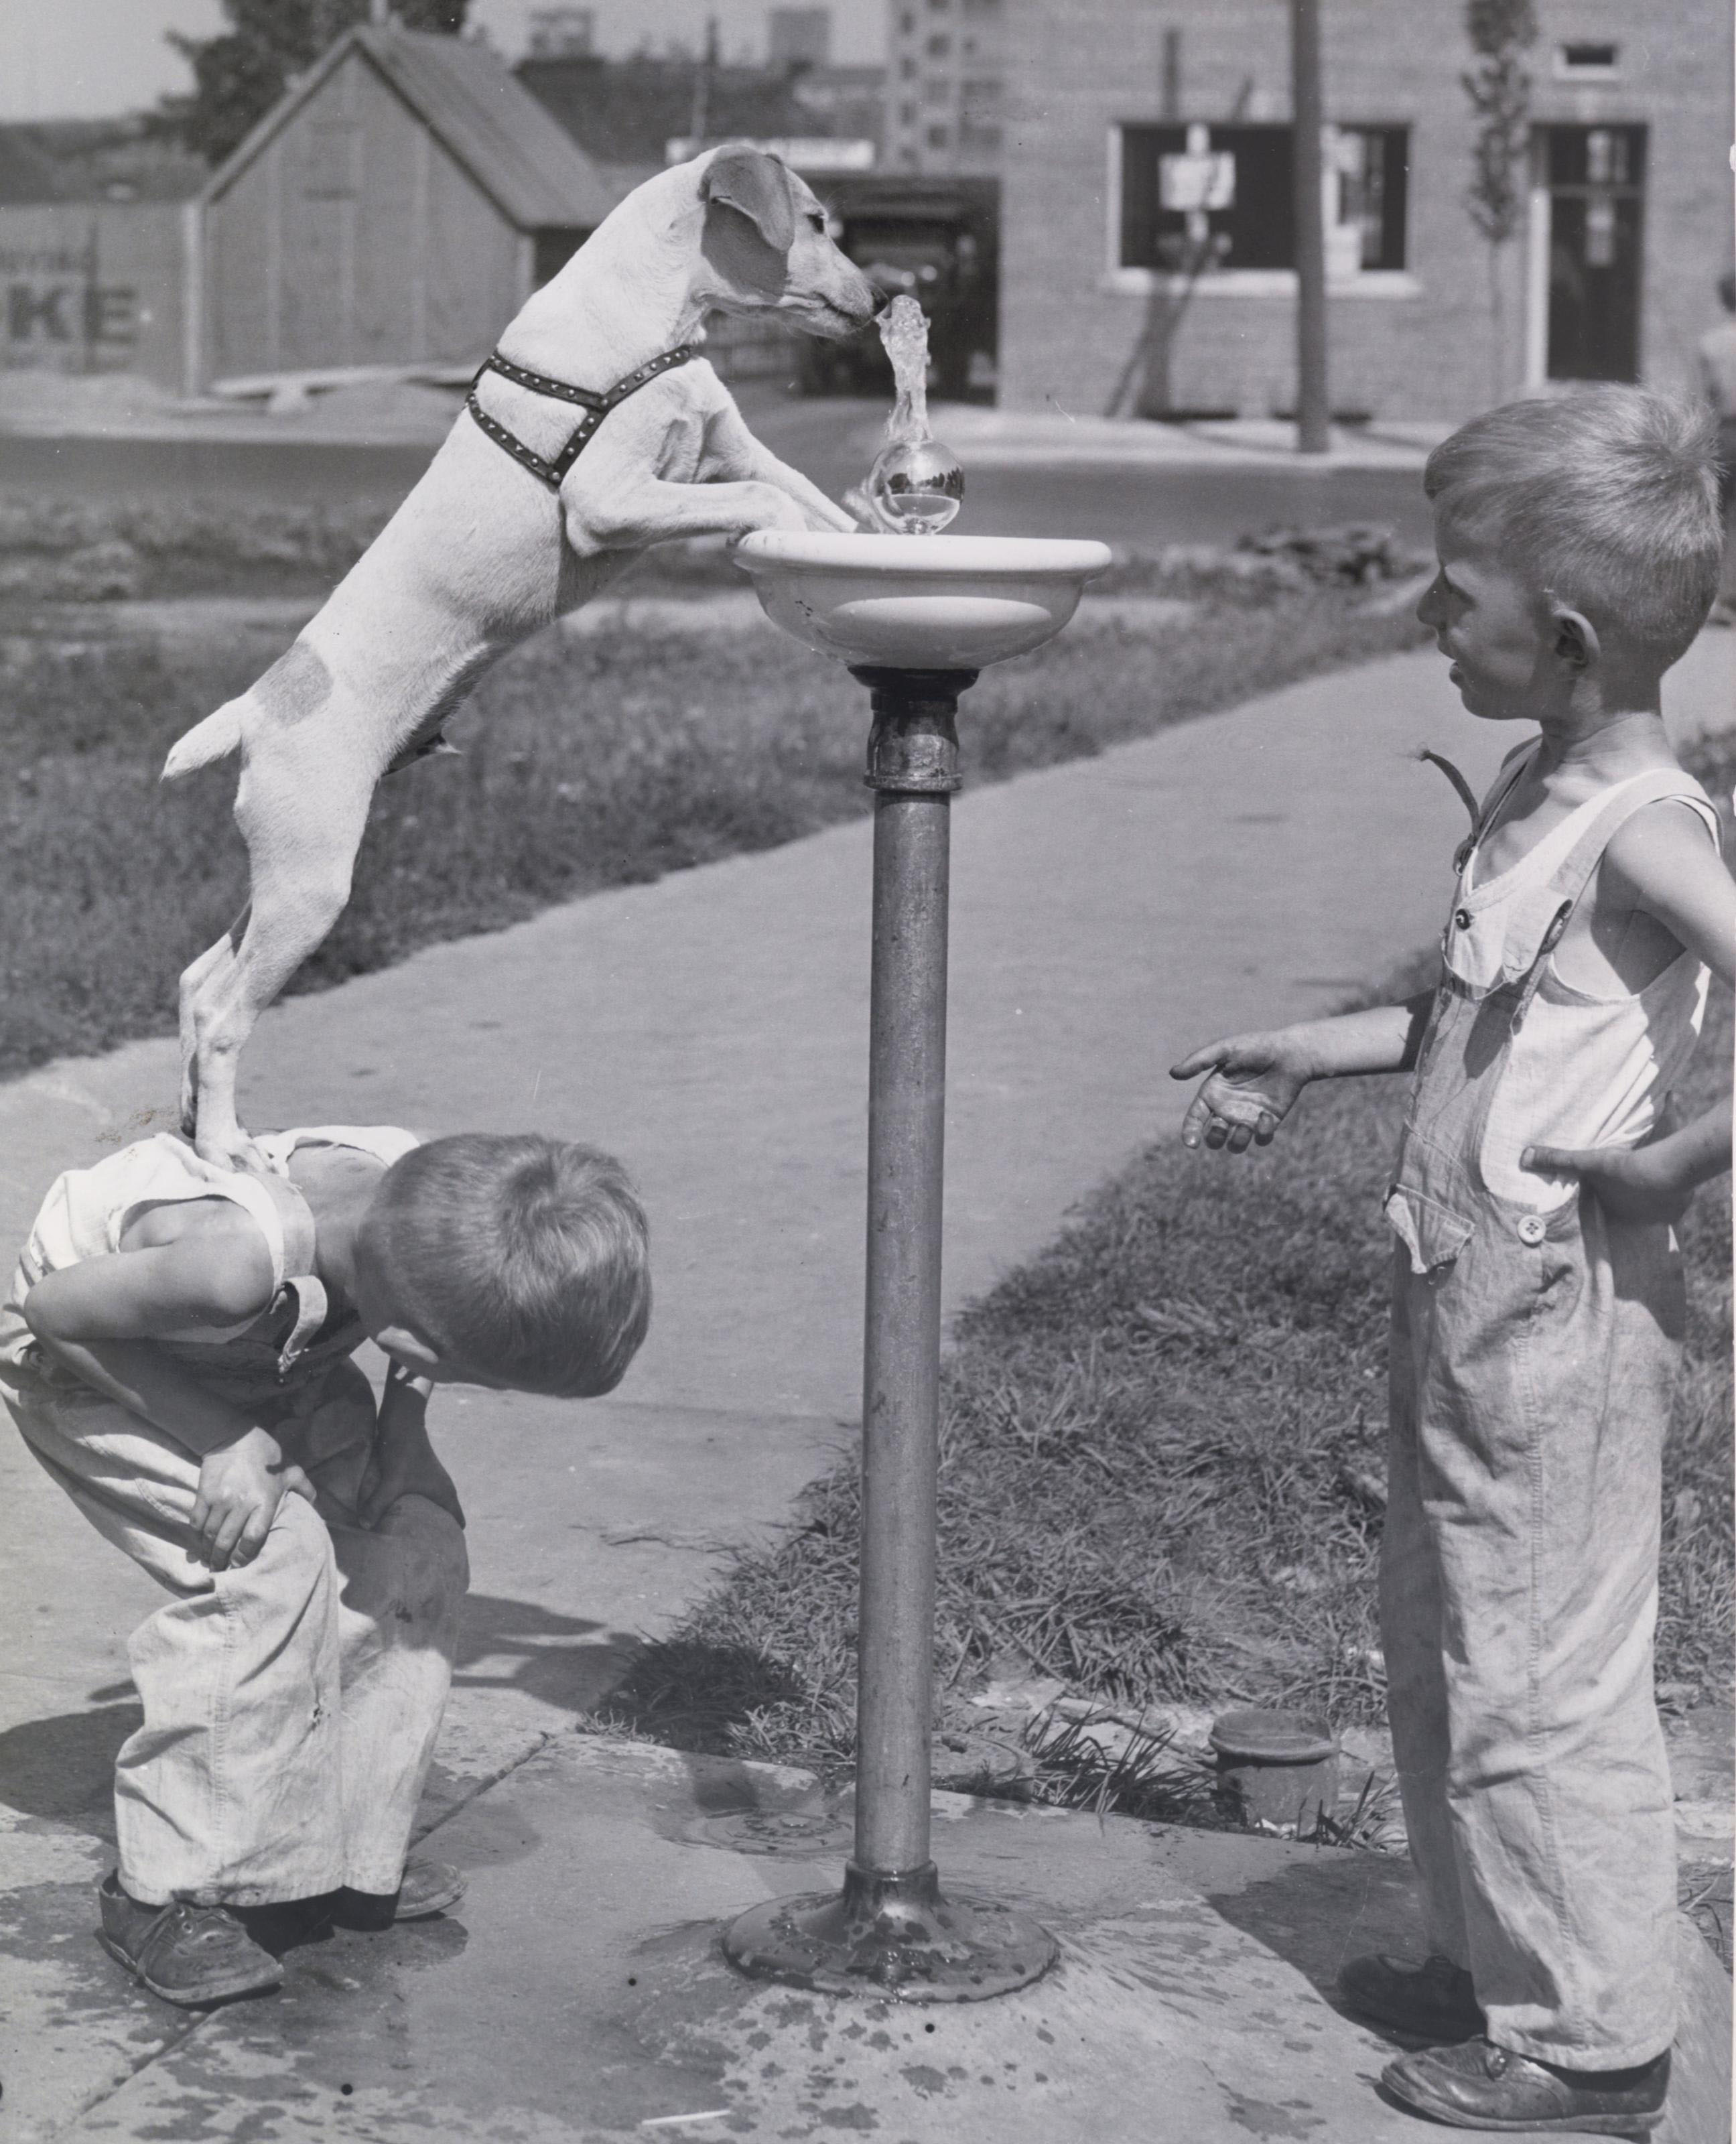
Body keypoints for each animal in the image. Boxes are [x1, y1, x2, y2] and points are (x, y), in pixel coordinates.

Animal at [158, 147, 878, 1175]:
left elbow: (810, 501)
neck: (643, 323)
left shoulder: (737, 453)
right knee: (223, 1012)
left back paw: (191, 1127)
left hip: (280, 879)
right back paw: (226, 1148)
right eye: (814, 220)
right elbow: (762, 505)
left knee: (195, 980)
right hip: (312, 880)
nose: (877, 303)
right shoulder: (611, 502)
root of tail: (255, 710)